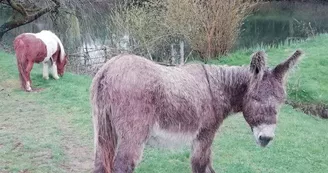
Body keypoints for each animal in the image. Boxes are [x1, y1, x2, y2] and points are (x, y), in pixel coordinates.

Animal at [89, 49, 302, 172]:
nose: (266, 139)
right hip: (132, 135)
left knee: (100, 163)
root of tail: (108, 68)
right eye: (256, 99)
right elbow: (201, 165)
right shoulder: (205, 133)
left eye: (281, 102)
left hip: (103, 130)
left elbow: (207, 165)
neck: (219, 87)